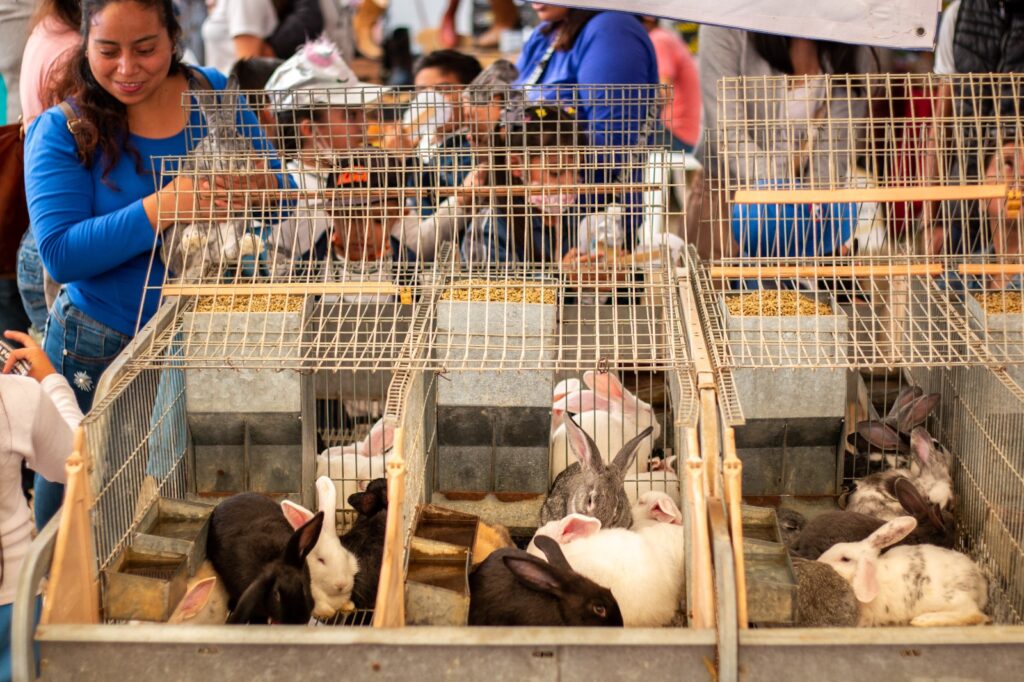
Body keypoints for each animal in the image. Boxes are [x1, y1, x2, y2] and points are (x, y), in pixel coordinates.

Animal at [811, 512, 987, 622]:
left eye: (845, 559)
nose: (819, 561)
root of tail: (979, 583)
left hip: (947, 600)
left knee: (975, 615)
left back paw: (923, 620)